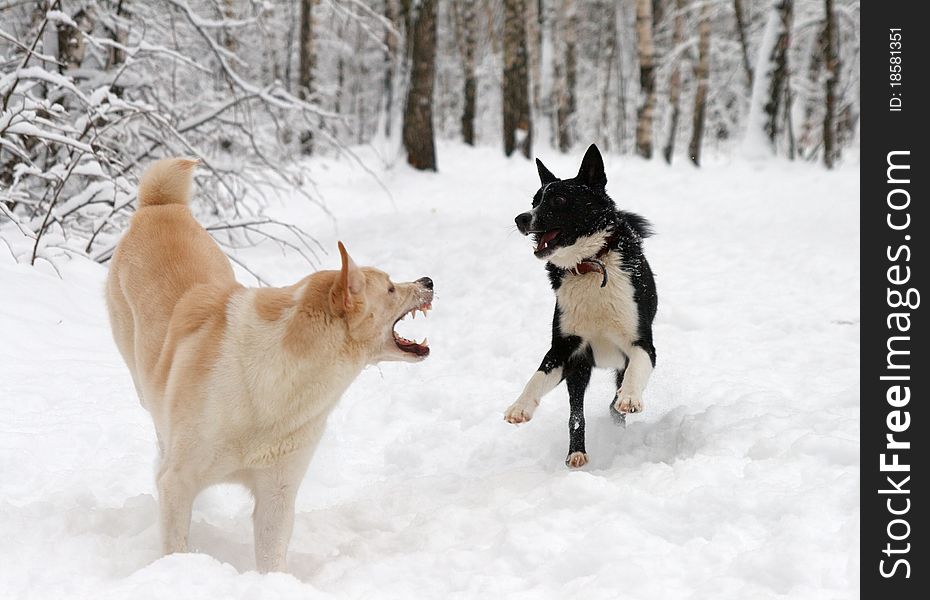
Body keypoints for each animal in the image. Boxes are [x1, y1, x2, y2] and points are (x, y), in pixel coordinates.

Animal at [107, 158, 434, 572]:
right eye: (391, 288)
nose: (429, 280)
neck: (275, 384)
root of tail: (161, 206)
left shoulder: (278, 494)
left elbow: (271, 558)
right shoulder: (177, 483)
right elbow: (175, 544)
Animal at [504, 144, 656, 468]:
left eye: (559, 200)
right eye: (534, 201)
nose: (521, 218)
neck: (589, 265)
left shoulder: (642, 344)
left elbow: (637, 369)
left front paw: (630, 398)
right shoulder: (567, 349)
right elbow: (537, 377)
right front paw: (520, 406)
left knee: (613, 402)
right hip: (580, 372)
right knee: (577, 413)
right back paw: (576, 452)